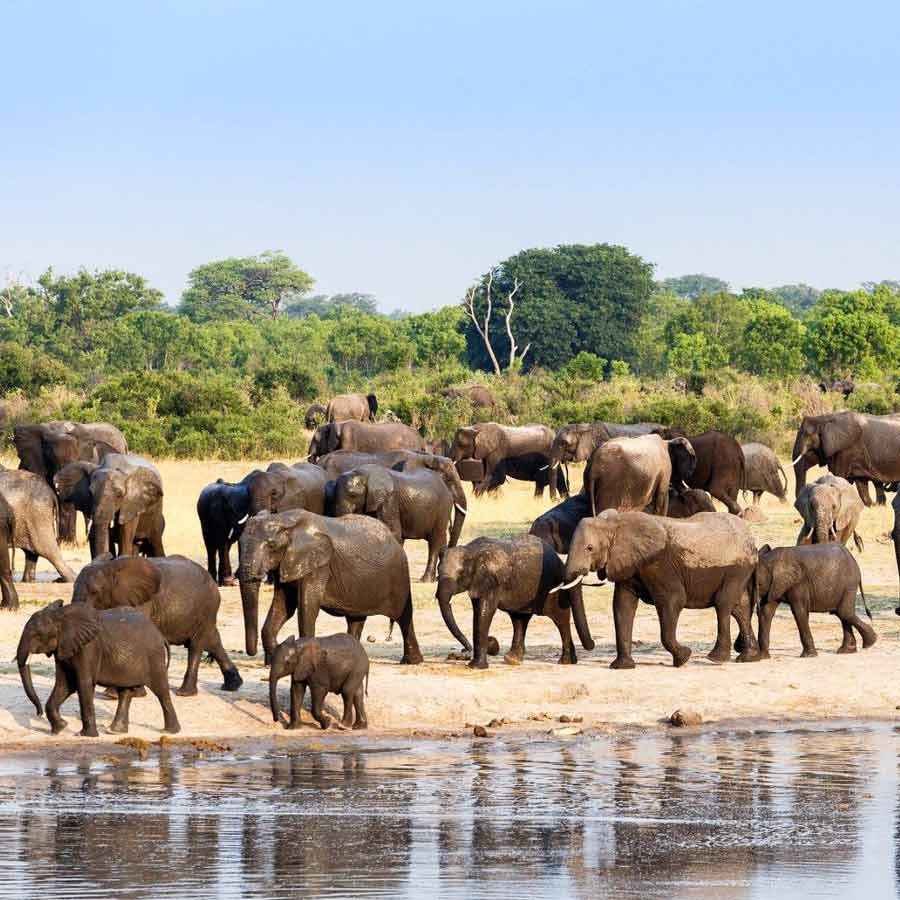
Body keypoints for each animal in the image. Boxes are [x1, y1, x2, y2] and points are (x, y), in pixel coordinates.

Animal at [17, 600, 180, 737]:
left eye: (37, 635)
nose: (38, 714)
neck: (60, 616)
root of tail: (160, 635)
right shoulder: (63, 648)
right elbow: (65, 684)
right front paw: (61, 728)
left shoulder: (89, 648)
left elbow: (83, 684)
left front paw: (85, 735)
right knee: (125, 691)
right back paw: (115, 731)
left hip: (154, 657)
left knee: (161, 691)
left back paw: (171, 731)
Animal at [72, 554, 242, 696]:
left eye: (95, 592)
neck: (112, 567)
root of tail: (213, 581)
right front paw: (114, 693)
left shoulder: (142, 602)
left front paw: (125, 693)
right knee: (213, 641)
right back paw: (232, 686)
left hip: (206, 607)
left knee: (196, 645)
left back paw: (184, 693)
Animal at [237, 509, 422, 665]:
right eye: (238, 544)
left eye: (271, 546)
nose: (252, 653)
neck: (285, 519)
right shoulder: (288, 563)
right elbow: (284, 606)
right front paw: (272, 662)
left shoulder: (319, 564)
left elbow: (307, 606)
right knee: (356, 619)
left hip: (399, 575)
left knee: (404, 617)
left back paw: (412, 661)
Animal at [437, 535, 595, 669]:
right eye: (437, 572)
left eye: (460, 573)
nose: (465, 650)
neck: (471, 550)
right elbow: (478, 611)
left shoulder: (492, 581)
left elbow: (485, 613)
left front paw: (475, 667)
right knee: (519, 619)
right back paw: (512, 660)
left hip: (552, 587)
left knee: (560, 618)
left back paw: (565, 662)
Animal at [563, 510, 759, 668]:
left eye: (589, 548)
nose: (592, 645)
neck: (615, 523)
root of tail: (751, 538)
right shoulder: (628, 565)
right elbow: (622, 605)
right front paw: (622, 667)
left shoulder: (659, 565)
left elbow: (674, 600)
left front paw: (683, 658)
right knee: (739, 608)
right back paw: (749, 658)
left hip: (736, 569)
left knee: (723, 603)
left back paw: (716, 658)